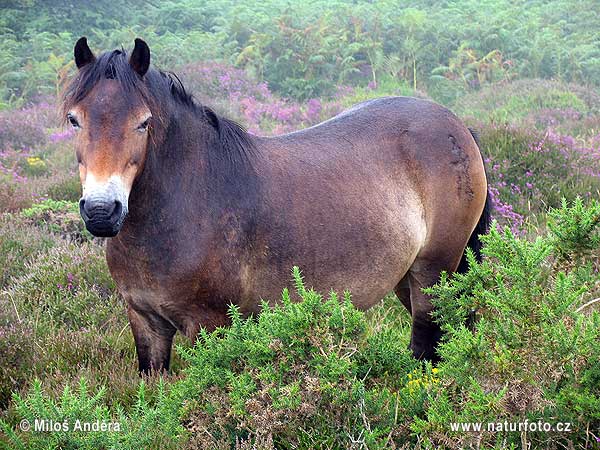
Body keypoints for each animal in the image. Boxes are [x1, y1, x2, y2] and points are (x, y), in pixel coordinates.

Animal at [63, 37, 490, 370]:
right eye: (74, 120)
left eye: (143, 122)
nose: (101, 211)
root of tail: (456, 125)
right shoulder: (146, 324)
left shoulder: (211, 325)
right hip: (408, 277)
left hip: (435, 272)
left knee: (428, 349)